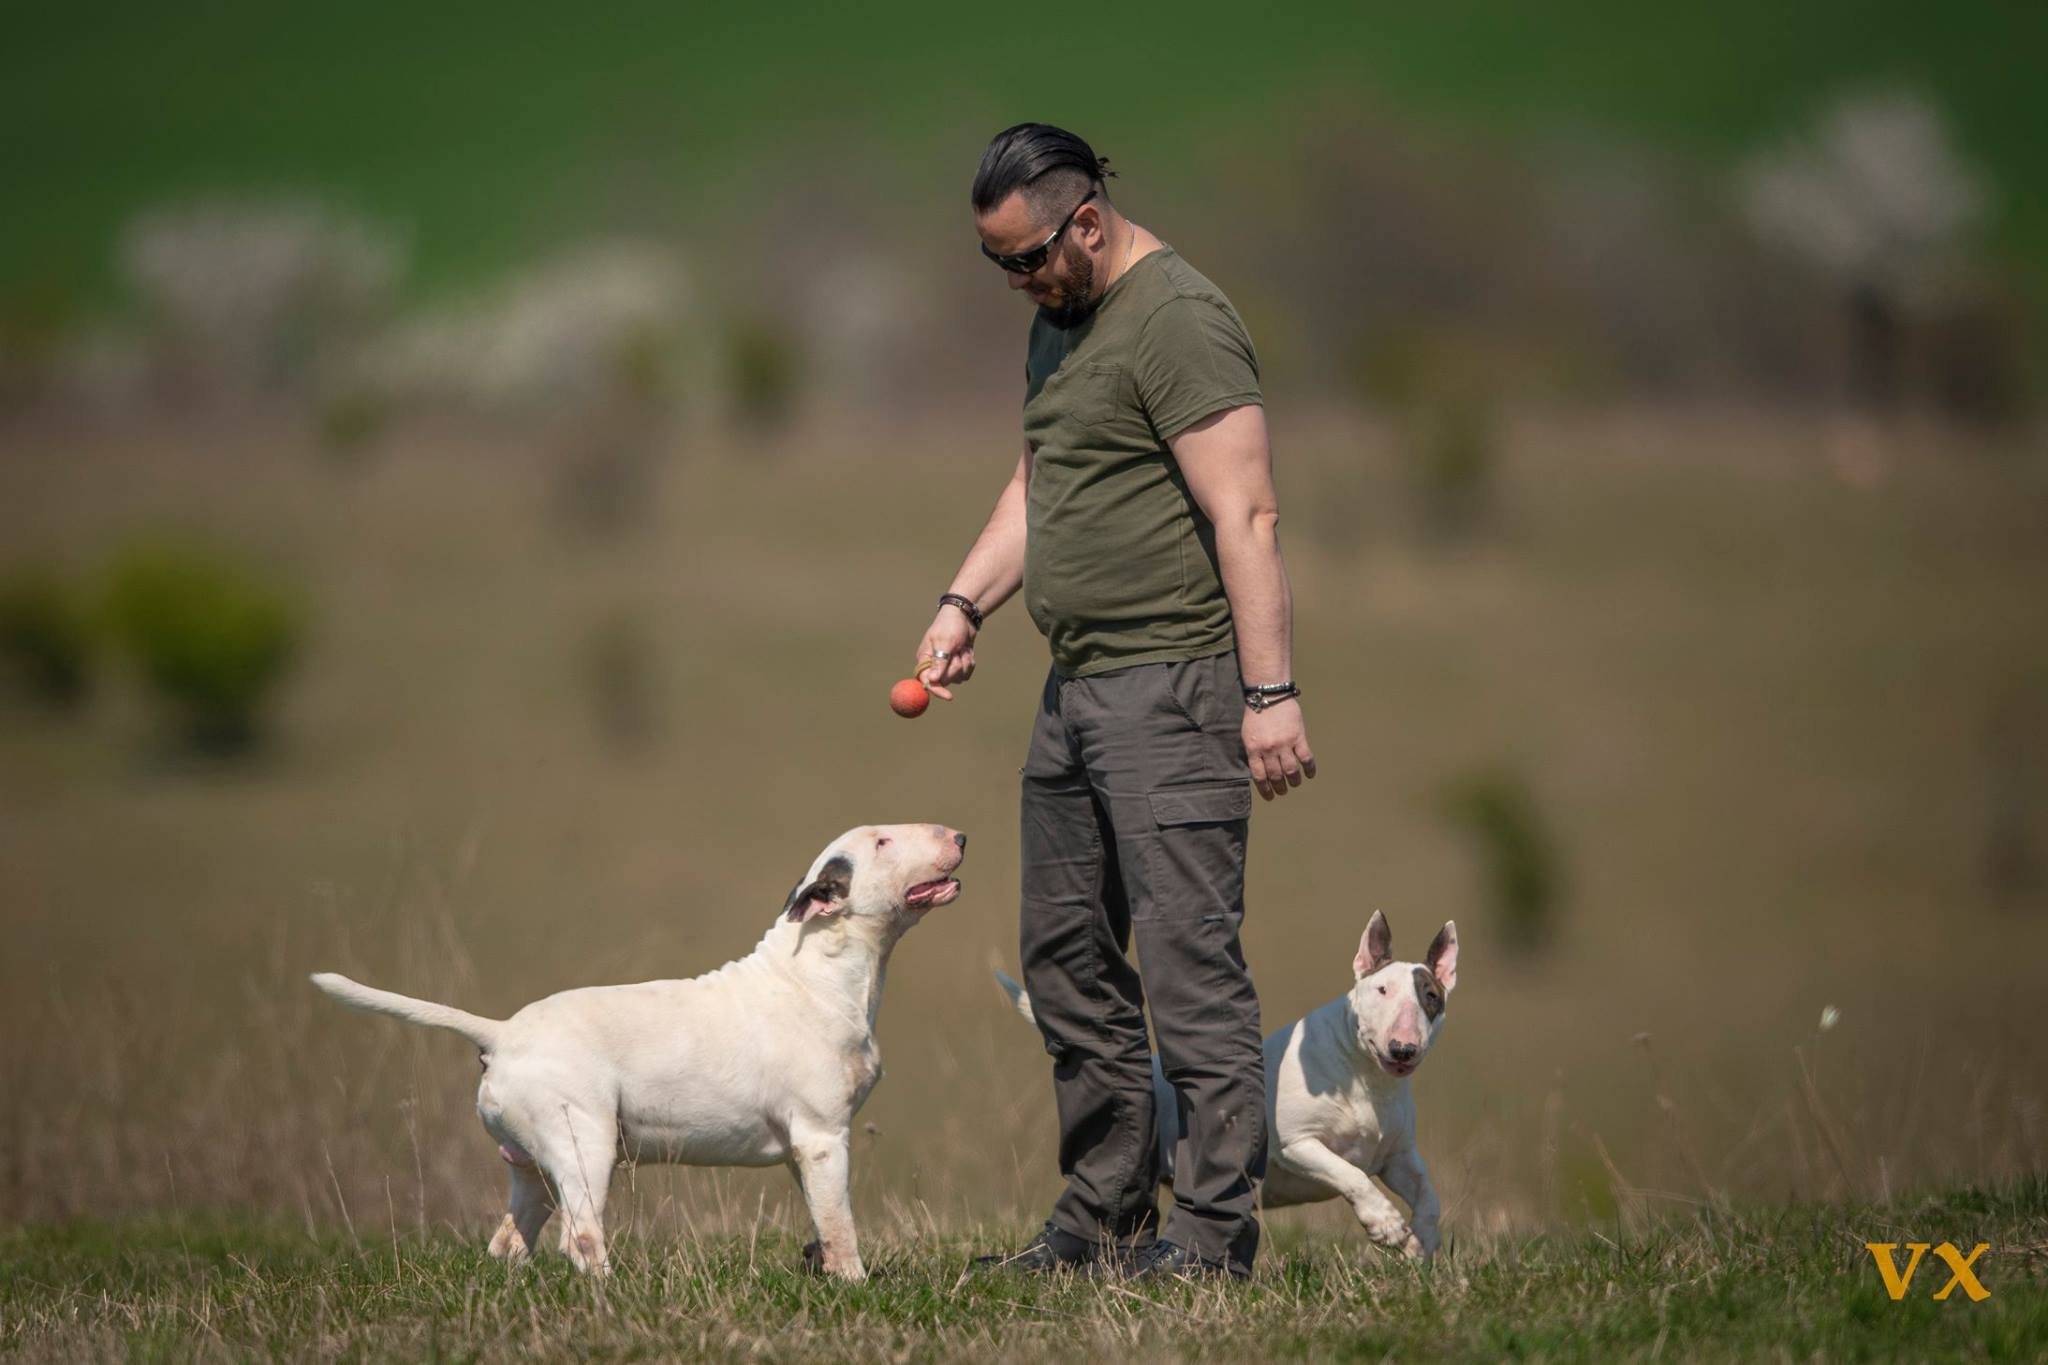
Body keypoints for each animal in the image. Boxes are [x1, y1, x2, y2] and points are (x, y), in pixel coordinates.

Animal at [313, 823, 967, 1280]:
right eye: (882, 840)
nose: (960, 836)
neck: (815, 976)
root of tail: (501, 1034)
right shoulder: (823, 1137)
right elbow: (840, 1224)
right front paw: (853, 1283)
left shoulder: (801, 1152)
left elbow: (818, 1218)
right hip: (583, 1144)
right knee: (578, 1237)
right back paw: (611, 1290)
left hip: (531, 1165)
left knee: (510, 1239)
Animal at [998, 909, 1456, 1260]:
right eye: (1382, 989)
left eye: (1430, 997)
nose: (1403, 1049)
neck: (1366, 1078)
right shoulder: (1297, 1143)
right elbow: (1350, 1174)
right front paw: (1387, 1225)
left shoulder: (1397, 1156)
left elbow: (1429, 1195)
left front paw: (1420, 1244)